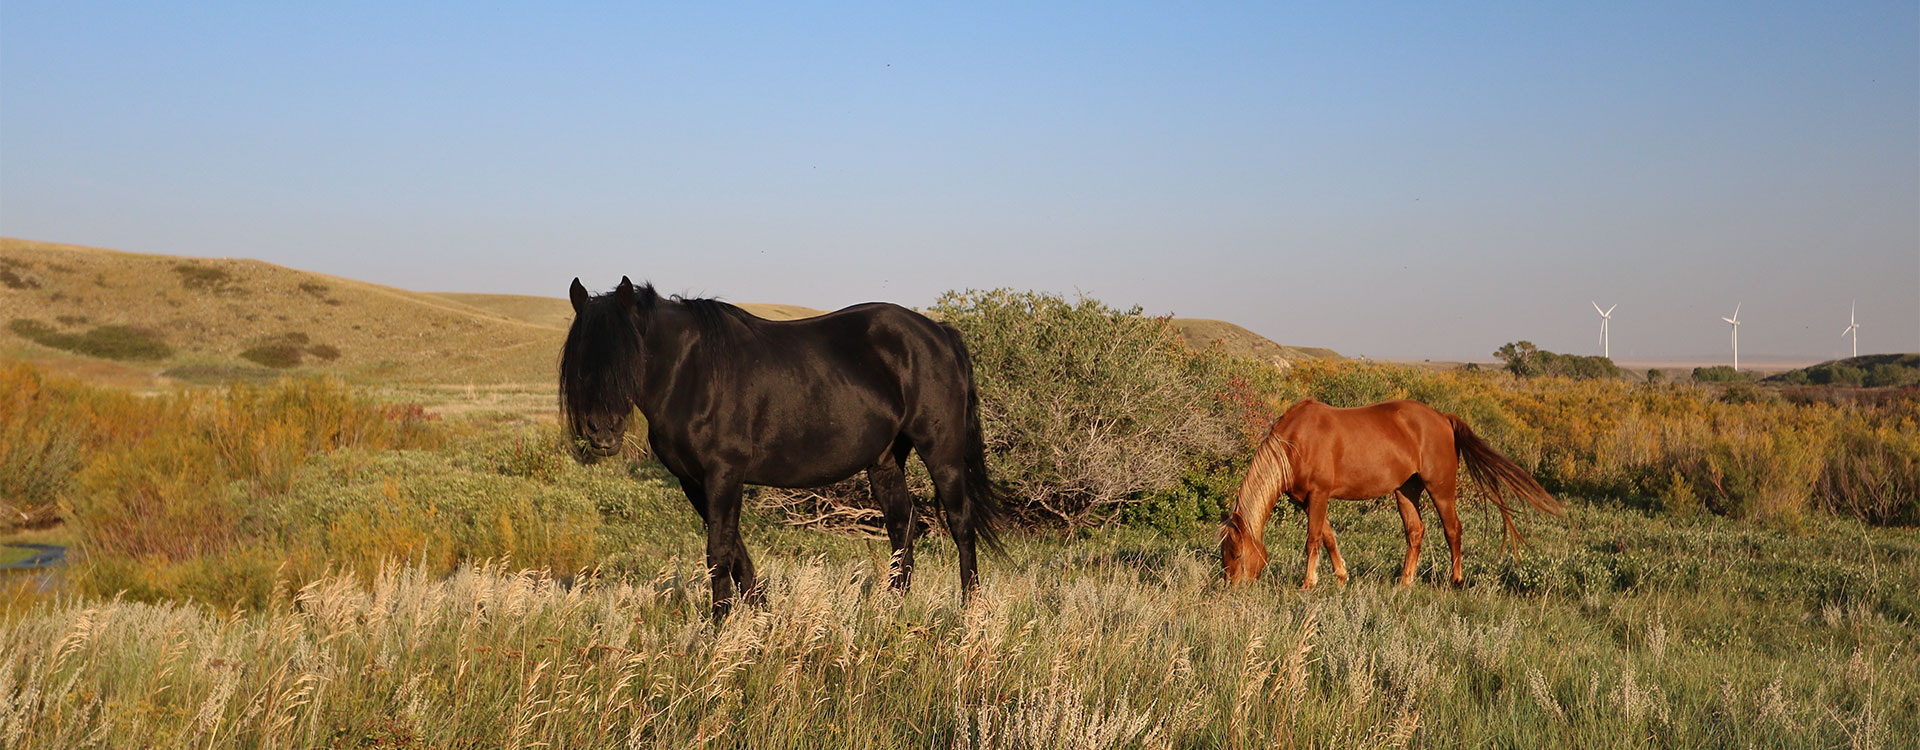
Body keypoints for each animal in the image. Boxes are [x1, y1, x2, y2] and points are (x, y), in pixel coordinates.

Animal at [560, 277, 1002, 618]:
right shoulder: (694, 480)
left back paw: (970, 609)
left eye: (628, 354)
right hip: (885, 460)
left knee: (960, 522)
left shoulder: (724, 473)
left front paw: (719, 625)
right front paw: (758, 612)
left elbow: (719, 550)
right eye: (581, 357)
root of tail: (938, 332)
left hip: (941, 451)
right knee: (901, 524)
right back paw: (891, 608)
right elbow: (733, 546)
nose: (602, 431)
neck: (692, 372)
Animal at [1219, 398, 1563, 589]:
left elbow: (1313, 539)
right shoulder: (1307, 500)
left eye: (1236, 553)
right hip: (1405, 491)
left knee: (1453, 530)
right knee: (1415, 531)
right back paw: (1405, 581)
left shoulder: (1319, 495)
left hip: (1440, 490)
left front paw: (1308, 583)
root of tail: (1443, 418)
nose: (1232, 587)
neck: (1295, 444)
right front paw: (1341, 576)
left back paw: (1456, 580)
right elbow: (1328, 537)